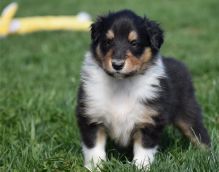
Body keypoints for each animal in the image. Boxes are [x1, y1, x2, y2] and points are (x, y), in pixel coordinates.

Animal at [75, 9, 210, 171]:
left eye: (134, 43)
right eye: (108, 41)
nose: (117, 64)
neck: (122, 84)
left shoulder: (149, 120)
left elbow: (144, 149)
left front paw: (140, 167)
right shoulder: (91, 116)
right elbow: (94, 148)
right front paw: (95, 167)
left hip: (188, 112)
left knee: (200, 135)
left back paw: (206, 155)